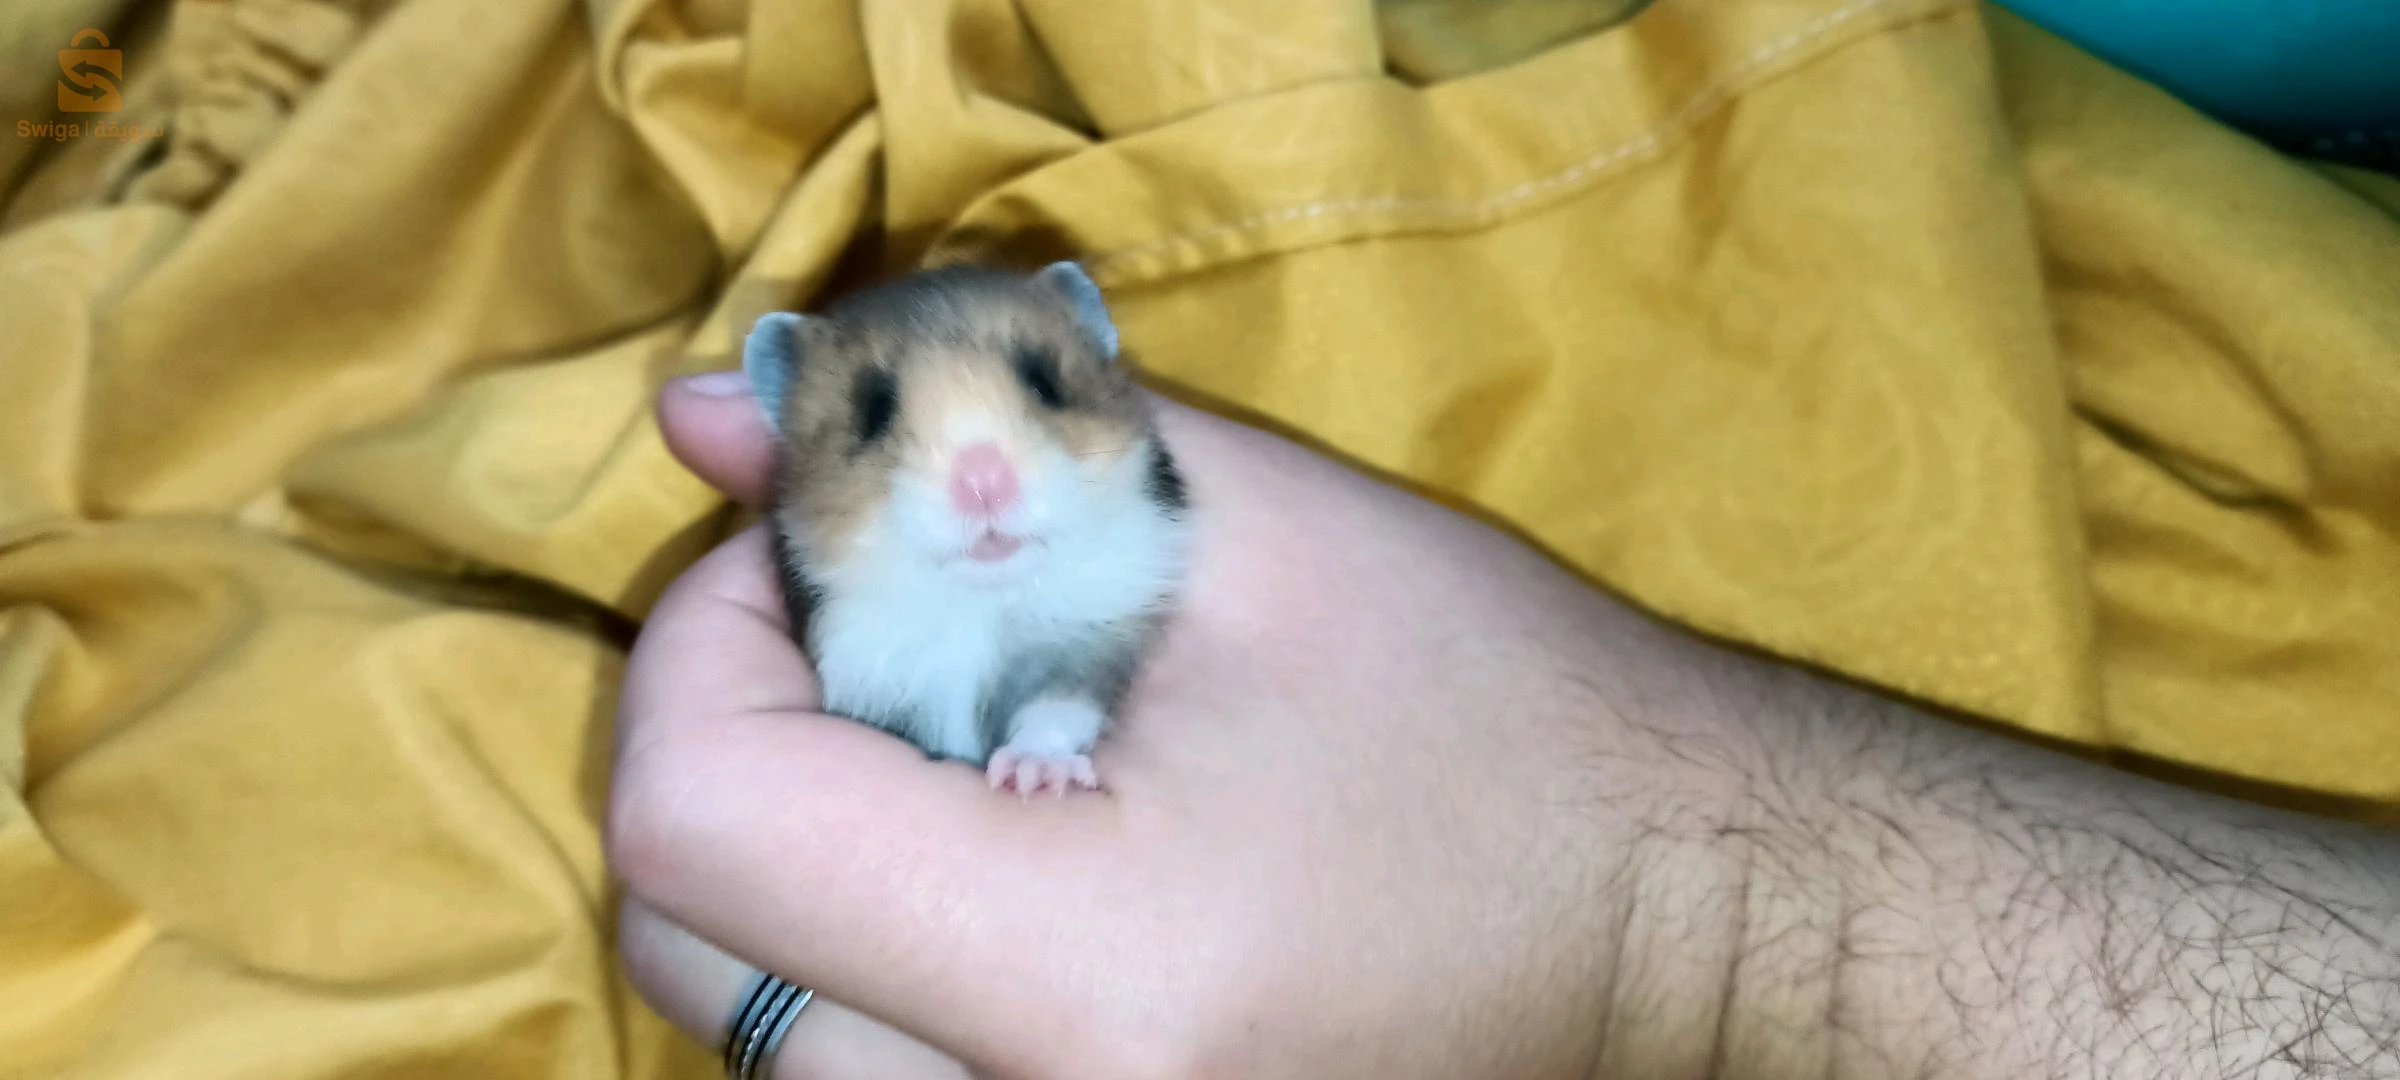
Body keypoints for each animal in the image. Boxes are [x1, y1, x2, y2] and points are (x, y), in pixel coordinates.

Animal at [738, 262, 1191, 796]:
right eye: (873, 411)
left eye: (1044, 382)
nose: (983, 484)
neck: (979, 603)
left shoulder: (1085, 644)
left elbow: (1055, 712)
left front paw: (1033, 778)